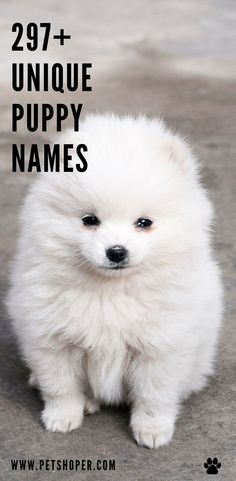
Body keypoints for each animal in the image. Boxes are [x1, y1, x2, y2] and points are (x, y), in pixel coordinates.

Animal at [6, 114, 222, 448]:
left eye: (144, 223)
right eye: (89, 220)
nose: (117, 251)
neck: (110, 291)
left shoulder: (160, 347)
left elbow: (154, 395)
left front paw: (152, 431)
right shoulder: (52, 340)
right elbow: (61, 386)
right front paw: (61, 418)